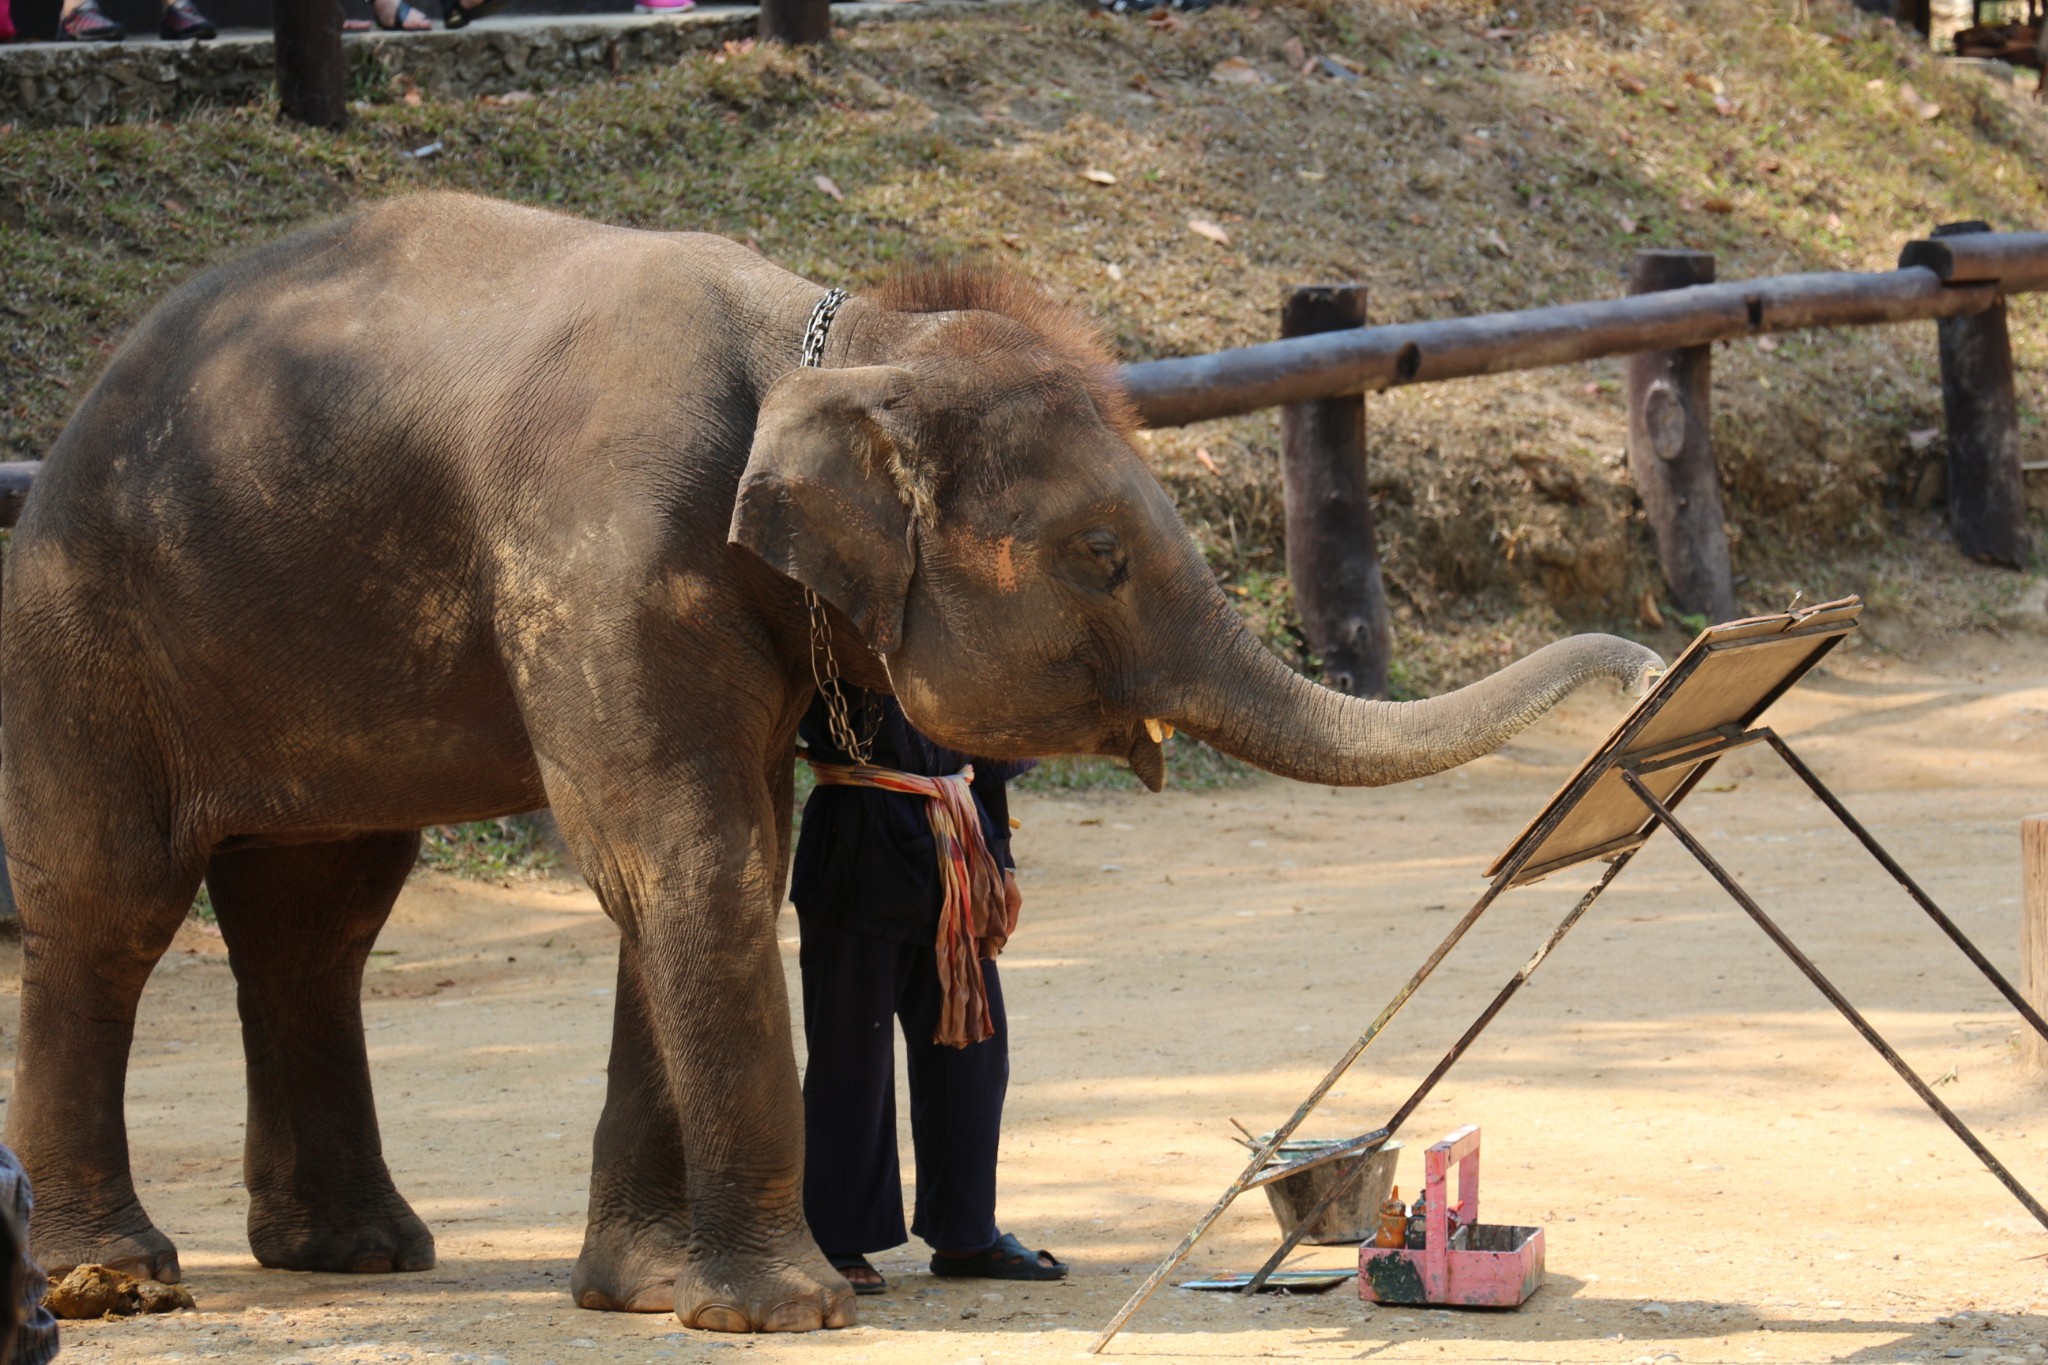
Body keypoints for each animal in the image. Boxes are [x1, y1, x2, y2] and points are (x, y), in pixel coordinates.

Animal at [0, 192, 1654, 1334]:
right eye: (1101, 555)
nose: (1645, 664)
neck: (825, 338)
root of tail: (73, 419)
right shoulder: (602, 548)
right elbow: (688, 856)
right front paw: (784, 1310)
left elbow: (680, 869)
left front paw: (647, 1291)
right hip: (89, 632)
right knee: (113, 906)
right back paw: (118, 1283)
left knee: (316, 919)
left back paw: (356, 1250)